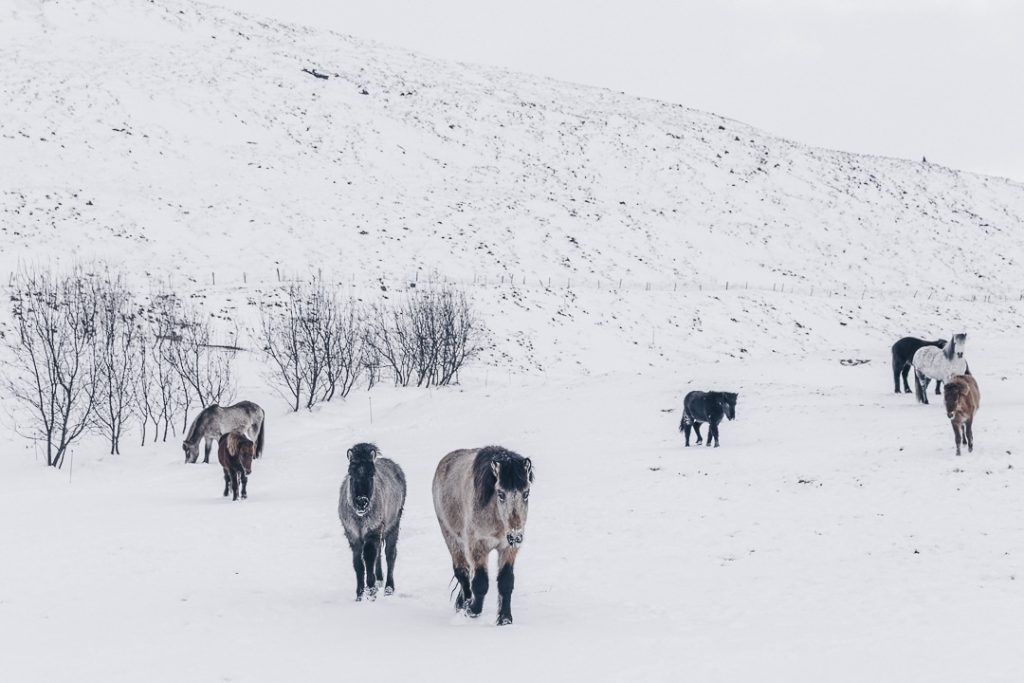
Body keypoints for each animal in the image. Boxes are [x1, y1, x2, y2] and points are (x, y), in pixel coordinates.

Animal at [338, 443, 406, 601]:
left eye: (372, 474)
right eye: (351, 474)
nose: (361, 502)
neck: (360, 518)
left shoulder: (372, 532)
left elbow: (369, 559)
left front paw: (371, 591)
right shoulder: (353, 536)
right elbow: (358, 564)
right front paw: (359, 594)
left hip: (394, 525)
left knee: (390, 554)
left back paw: (388, 587)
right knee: (379, 554)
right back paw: (379, 580)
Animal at [432, 446, 533, 626]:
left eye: (526, 493)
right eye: (501, 493)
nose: (516, 536)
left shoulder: (508, 548)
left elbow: (506, 582)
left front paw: (504, 618)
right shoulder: (477, 546)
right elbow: (480, 583)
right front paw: (472, 611)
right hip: (451, 538)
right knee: (462, 573)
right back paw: (464, 604)